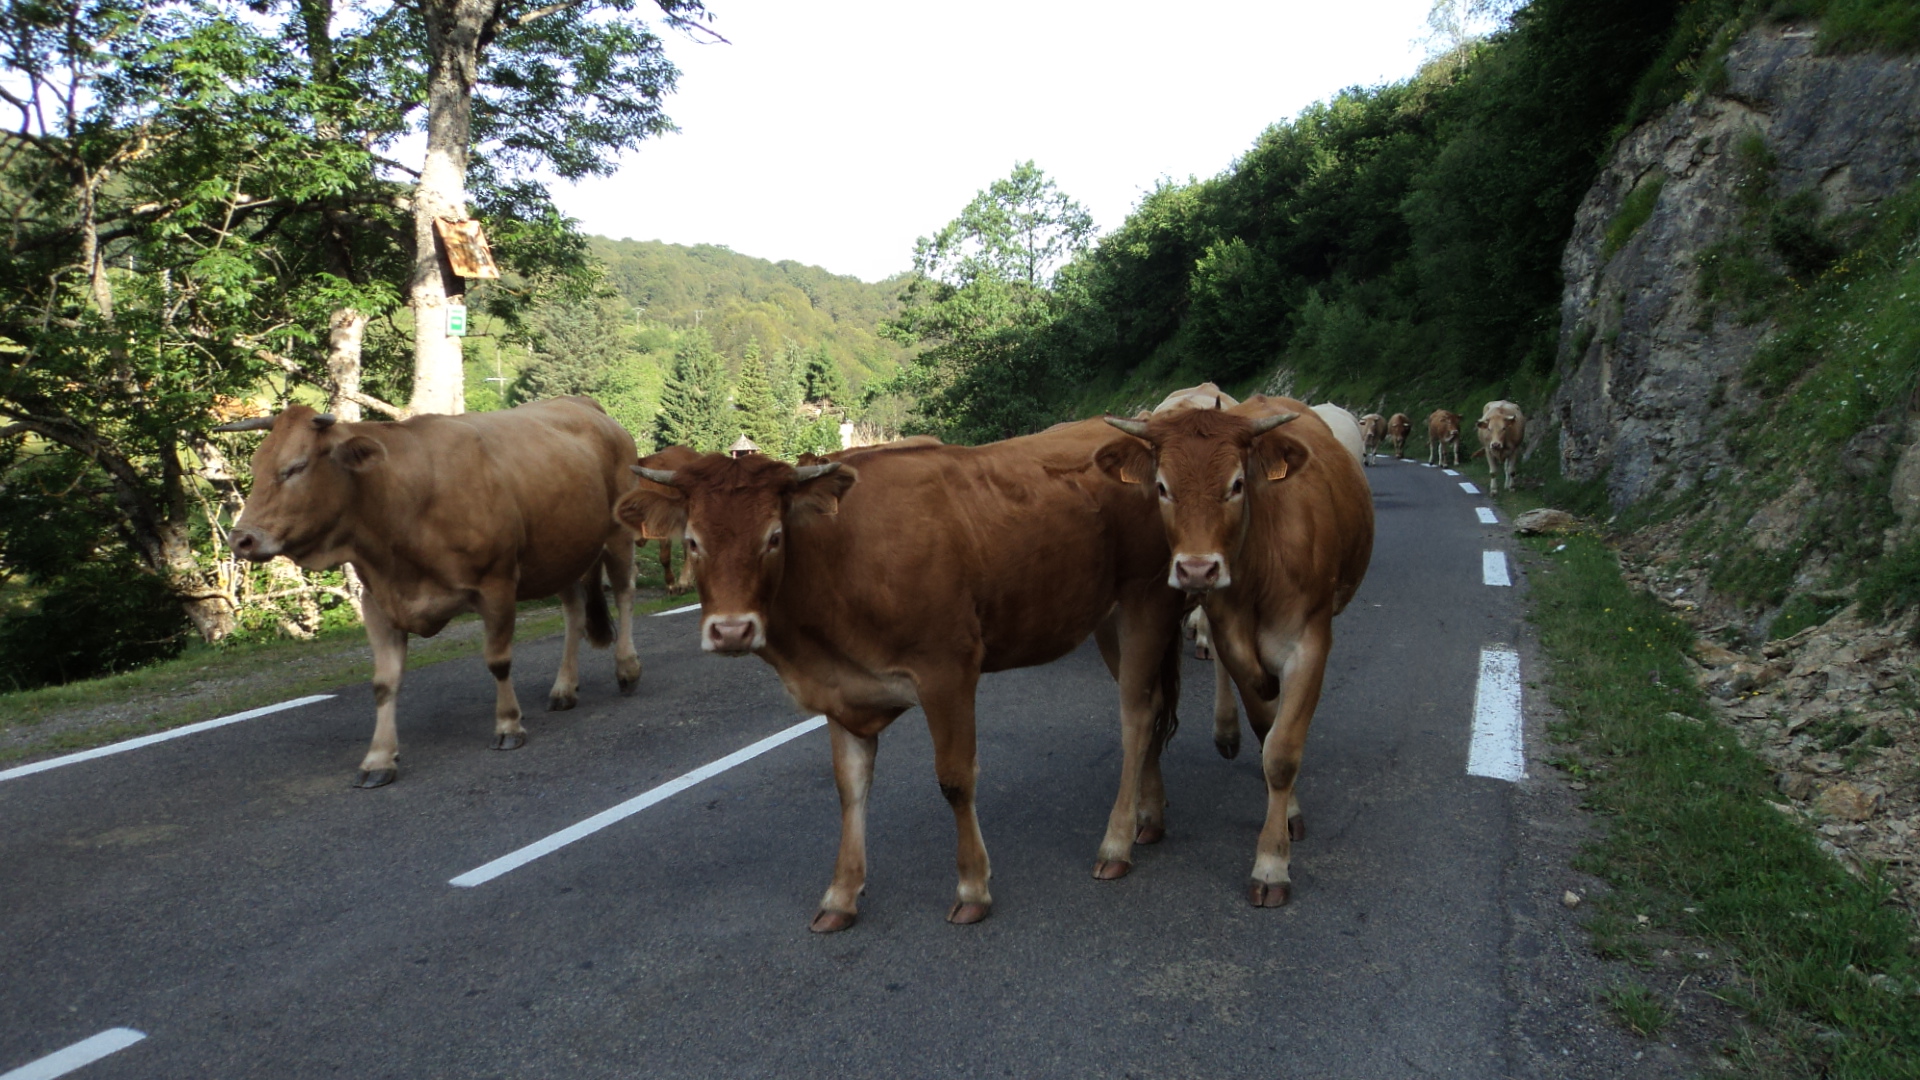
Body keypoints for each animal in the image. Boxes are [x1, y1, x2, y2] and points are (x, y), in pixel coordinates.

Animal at [215, 395, 641, 780]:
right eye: (256, 467)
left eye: (296, 467)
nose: (241, 539)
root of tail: (586, 405)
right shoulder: (379, 600)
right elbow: (384, 683)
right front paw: (379, 758)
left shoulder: (497, 584)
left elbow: (498, 660)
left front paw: (508, 725)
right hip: (562, 552)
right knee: (574, 612)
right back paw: (564, 688)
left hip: (619, 534)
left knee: (623, 594)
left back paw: (627, 668)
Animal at [614, 424, 1182, 930]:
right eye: (692, 542)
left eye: (773, 538)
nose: (731, 630)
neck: (838, 562)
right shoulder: (841, 690)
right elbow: (850, 788)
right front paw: (841, 895)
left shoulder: (948, 670)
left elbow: (955, 779)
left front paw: (972, 887)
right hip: (1107, 615)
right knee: (1152, 703)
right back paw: (1149, 817)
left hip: (1146, 597)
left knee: (1136, 714)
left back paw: (1116, 842)